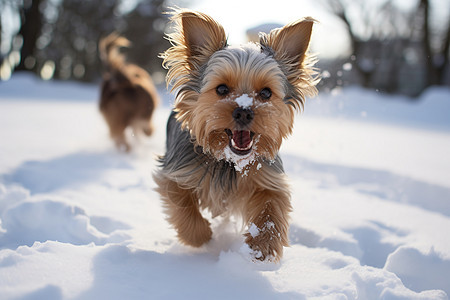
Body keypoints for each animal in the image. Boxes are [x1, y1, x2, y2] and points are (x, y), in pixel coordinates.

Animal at [155, 9, 320, 260]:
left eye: (266, 93)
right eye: (222, 89)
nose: (243, 111)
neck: (229, 161)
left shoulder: (268, 178)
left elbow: (272, 207)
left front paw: (262, 246)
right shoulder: (175, 173)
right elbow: (182, 205)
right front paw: (201, 237)